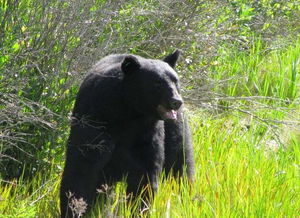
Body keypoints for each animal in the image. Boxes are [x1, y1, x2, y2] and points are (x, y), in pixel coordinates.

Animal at [60, 50, 196, 217]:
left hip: (175, 129)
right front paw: (74, 209)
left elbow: (145, 178)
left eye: (176, 81)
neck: (130, 112)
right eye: (157, 83)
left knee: (180, 163)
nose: (176, 101)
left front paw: (138, 210)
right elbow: (82, 170)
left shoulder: (147, 134)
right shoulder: (95, 121)